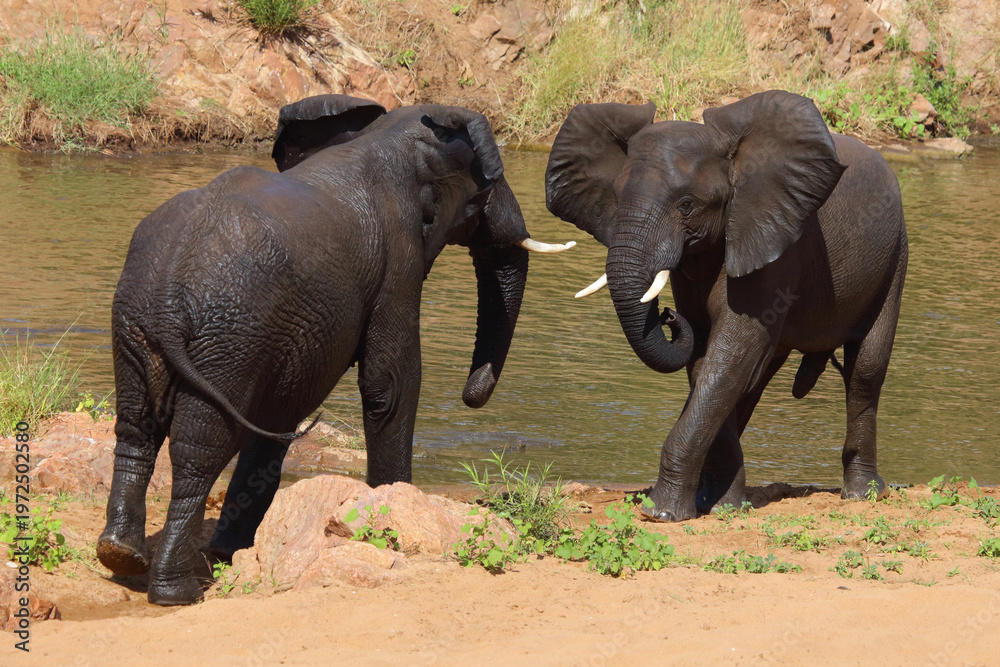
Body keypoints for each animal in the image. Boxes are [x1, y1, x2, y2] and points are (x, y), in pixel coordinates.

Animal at [97, 95, 573, 604]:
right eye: (483, 194)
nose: (471, 396)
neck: (389, 137)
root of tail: (168, 289)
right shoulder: (398, 258)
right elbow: (391, 382)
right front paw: (392, 506)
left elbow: (285, 412)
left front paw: (230, 550)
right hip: (228, 334)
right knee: (200, 446)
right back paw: (177, 591)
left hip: (141, 321)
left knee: (138, 426)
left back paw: (121, 556)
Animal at [546, 90, 908, 521]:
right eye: (615, 198)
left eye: (686, 204)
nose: (669, 316)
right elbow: (711, 364)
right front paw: (720, 505)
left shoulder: (774, 238)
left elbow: (732, 353)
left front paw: (662, 513)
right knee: (757, 378)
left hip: (895, 256)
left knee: (865, 372)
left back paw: (863, 495)